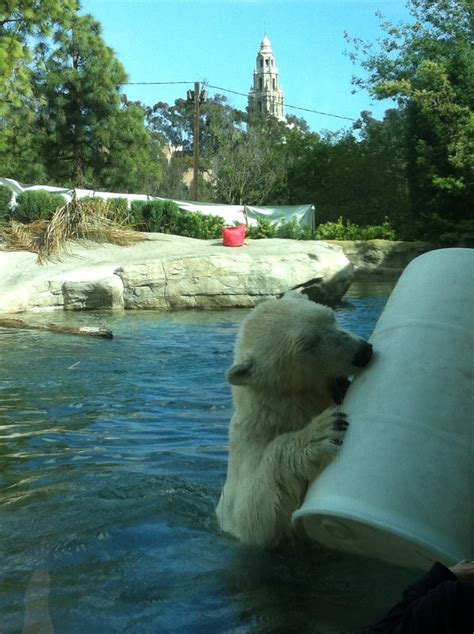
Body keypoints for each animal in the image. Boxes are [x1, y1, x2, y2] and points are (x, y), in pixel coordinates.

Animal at [216, 288, 374, 544]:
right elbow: (252, 516)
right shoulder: (246, 444)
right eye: (308, 344)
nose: (362, 352)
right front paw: (321, 432)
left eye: (331, 317)